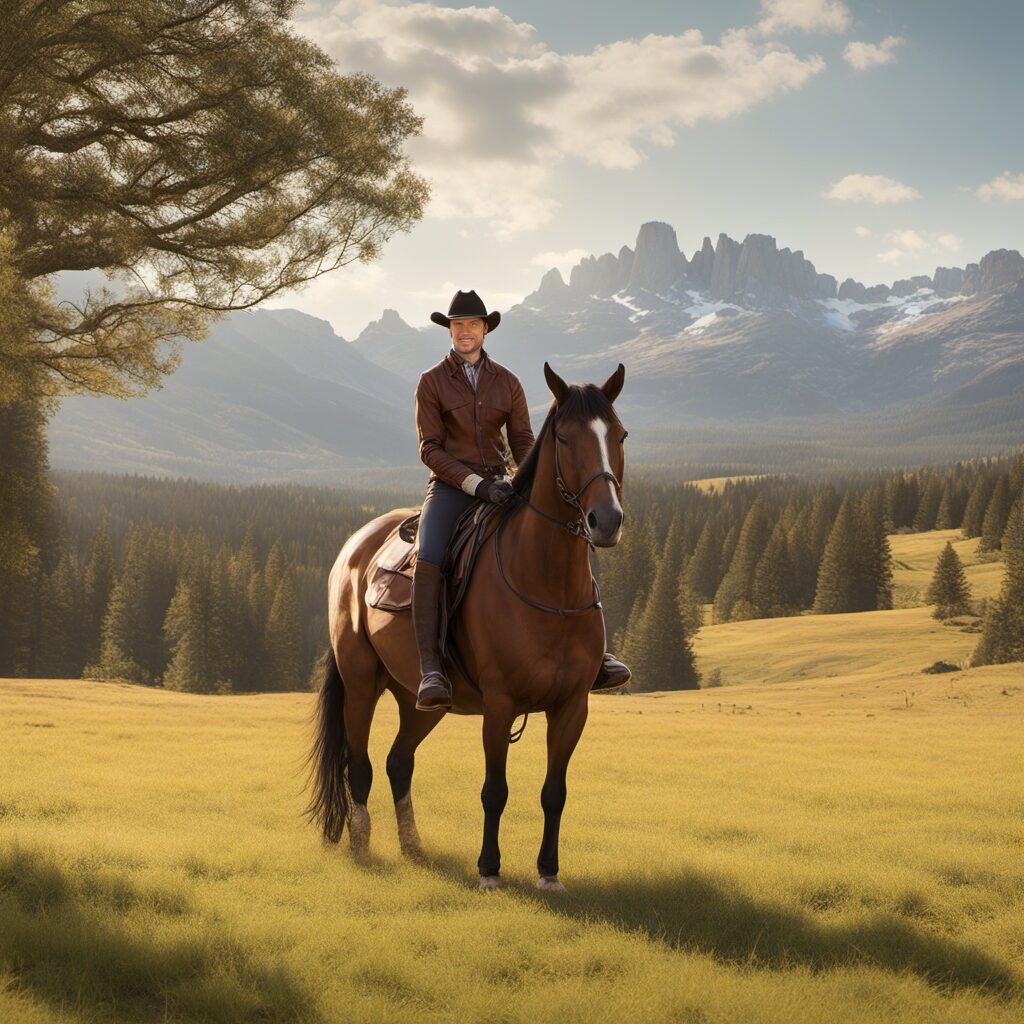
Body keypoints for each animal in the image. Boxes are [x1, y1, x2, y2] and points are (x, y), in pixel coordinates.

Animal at [305, 362, 627, 891]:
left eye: (619, 435)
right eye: (564, 438)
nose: (606, 520)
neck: (546, 584)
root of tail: (354, 547)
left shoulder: (572, 707)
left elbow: (554, 792)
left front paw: (548, 872)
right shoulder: (499, 704)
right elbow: (494, 790)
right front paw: (489, 870)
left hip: (419, 697)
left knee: (399, 761)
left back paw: (413, 847)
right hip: (360, 683)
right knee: (360, 766)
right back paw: (362, 847)